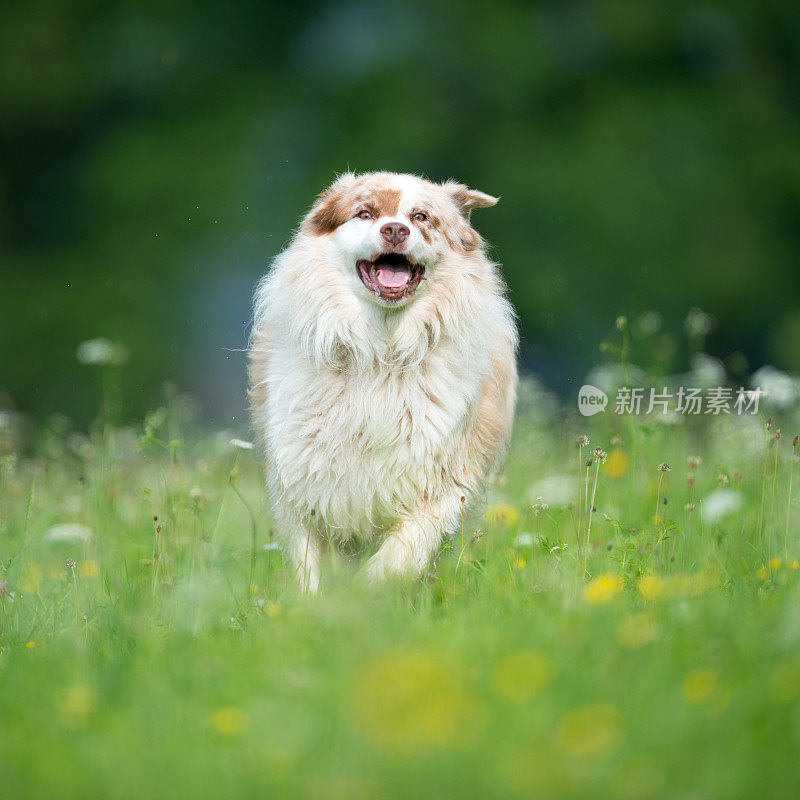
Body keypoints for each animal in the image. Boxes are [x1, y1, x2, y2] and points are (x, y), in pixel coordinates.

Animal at [248, 172, 520, 592]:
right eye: (365, 213)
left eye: (421, 216)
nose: (394, 229)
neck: (380, 351)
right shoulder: (301, 477)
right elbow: (310, 565)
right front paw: (314, 603)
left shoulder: (441, 478)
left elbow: (398, 557)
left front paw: (365, 596)